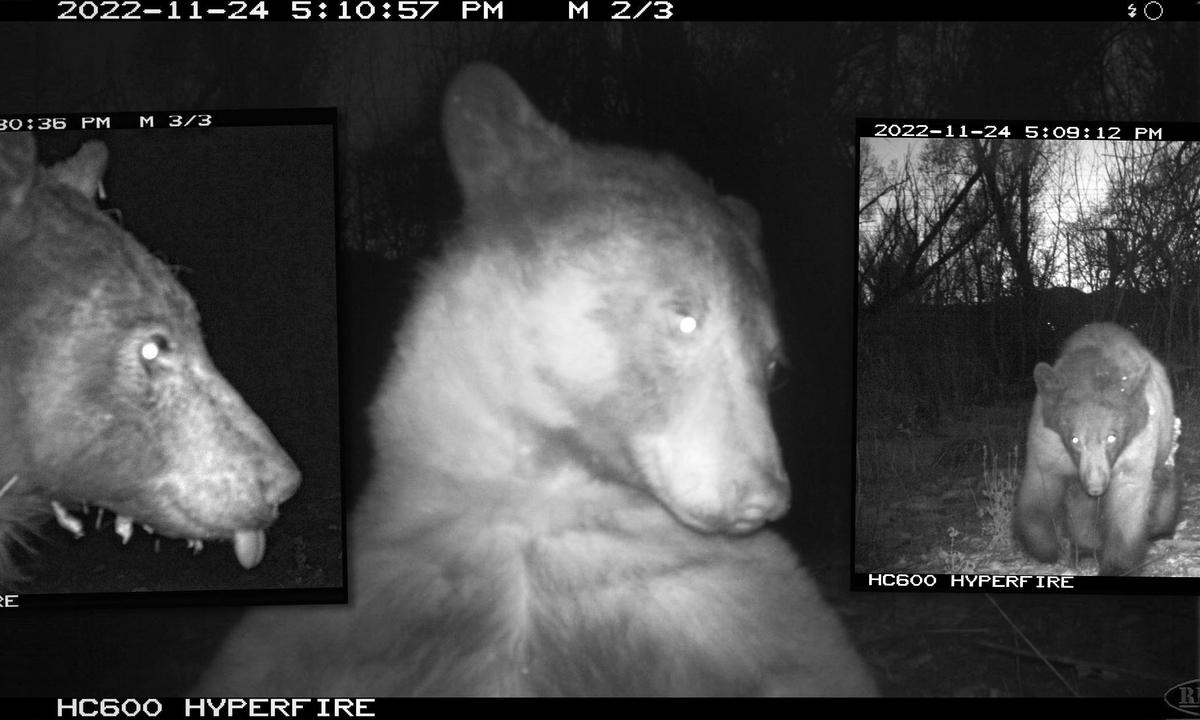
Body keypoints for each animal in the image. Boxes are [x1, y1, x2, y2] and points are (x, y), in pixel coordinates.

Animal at [195, 63, 877, 696]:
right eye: (684, 317)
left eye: (773, 365)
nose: (764, 495)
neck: (543, 492)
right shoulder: (366, 598)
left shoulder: (730, 601)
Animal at [1014, 322, 1182, 576]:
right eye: (1075, 440)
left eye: (1111, 437)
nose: (1096, 487)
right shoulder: (1048, 441)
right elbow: (1038, 490)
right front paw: (1048, 548)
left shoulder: (1137, 442)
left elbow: (1127, 501)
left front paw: (1118, 565)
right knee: (1080, 503)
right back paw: (1085, 548)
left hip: (1165, 437)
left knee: (1163, 477)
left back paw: (1160, 529)